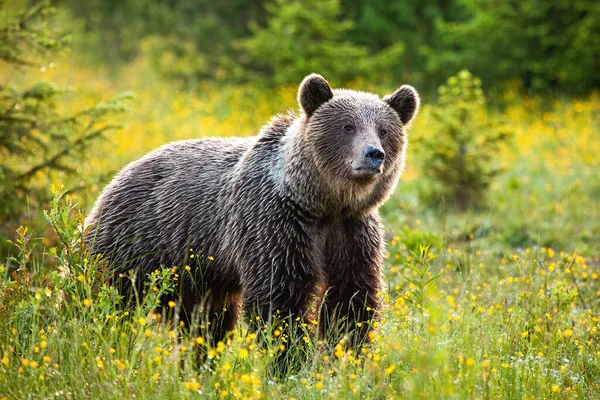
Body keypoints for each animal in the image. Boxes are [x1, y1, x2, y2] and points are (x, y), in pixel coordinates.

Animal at [84, 72, 420, 360]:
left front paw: (346, 358)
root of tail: (113, 180)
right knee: (104, 300)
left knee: (204, 324)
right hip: (131, 247)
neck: (321, 203)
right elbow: (281, 298)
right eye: (348, 126)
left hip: (197, 277)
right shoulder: (275, 222)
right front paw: (289, 360)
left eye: (384, 130)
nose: (373, 154)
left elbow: (352, 298)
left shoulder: (352, 231)